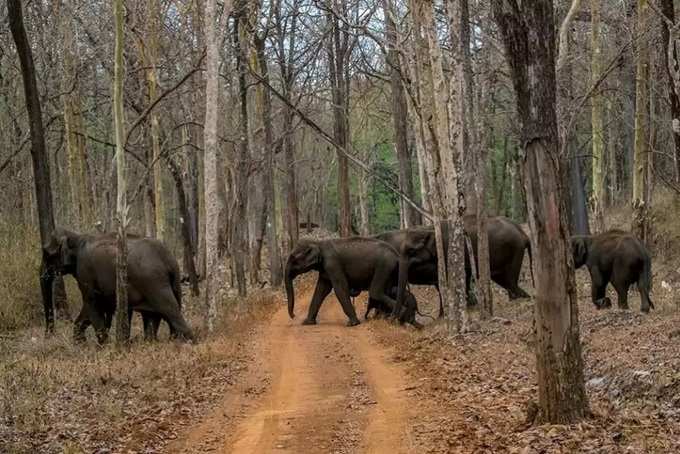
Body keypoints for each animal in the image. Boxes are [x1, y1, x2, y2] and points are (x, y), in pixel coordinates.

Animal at [41, 229, 194, 342]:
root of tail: (168, 258)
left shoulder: (85, 272)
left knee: (170, 311)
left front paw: (103, 346)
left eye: (47, 254)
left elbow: (92, 304)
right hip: (172, 284)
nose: (48, 334)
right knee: (157, 315)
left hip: (155, 283)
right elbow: (90, 308)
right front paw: (81, 343)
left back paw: (185, 340)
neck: (77, 237)